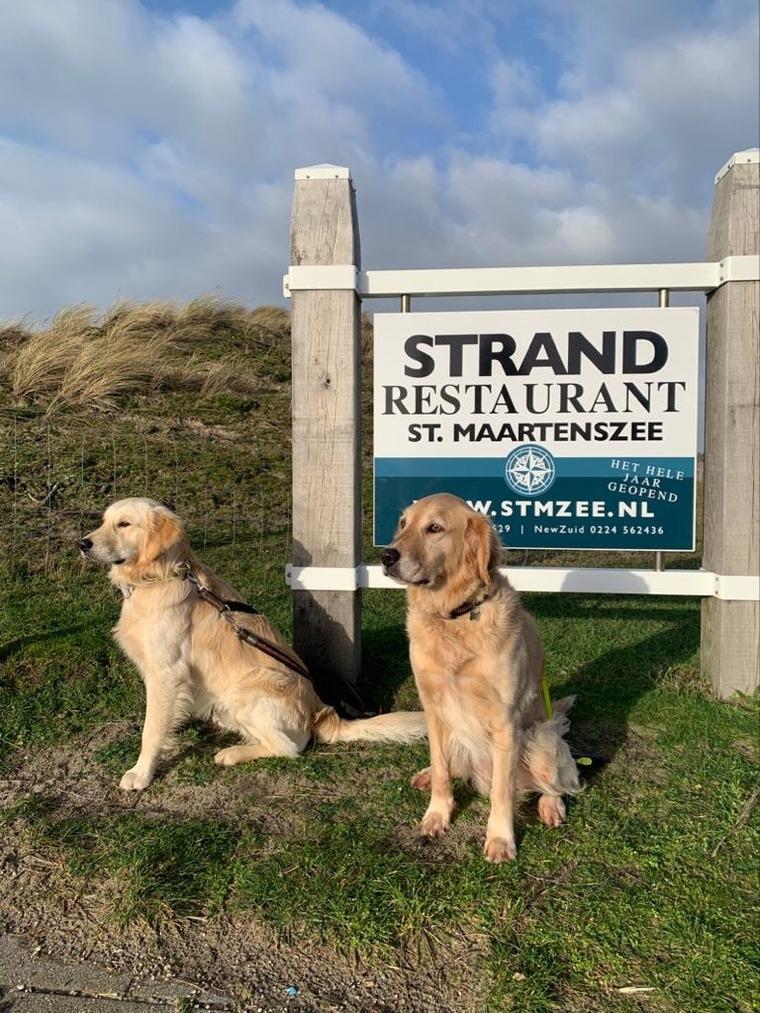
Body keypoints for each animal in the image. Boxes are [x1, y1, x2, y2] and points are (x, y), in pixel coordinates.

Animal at [80, 497, 426, 791]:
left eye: (124, 524)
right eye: (104, 521)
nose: (82, 543)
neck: (158, 577)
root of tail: (322, 712)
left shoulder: (166, 671)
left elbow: (151, 730)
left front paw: (140, 773)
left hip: (250, 687)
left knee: (289, 747)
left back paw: (233, 752)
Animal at [380, 493, 581, 862]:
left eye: (434, 528)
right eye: (403, 524)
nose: (386, 555)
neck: (456, 616)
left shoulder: (505, 722)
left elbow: (503, 791)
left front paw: (500, 839)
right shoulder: (433, 708)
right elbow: (442, 770)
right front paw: (436, 815)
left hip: (542, 740)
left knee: (554, 783)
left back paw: (551, 806)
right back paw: (426, 776)